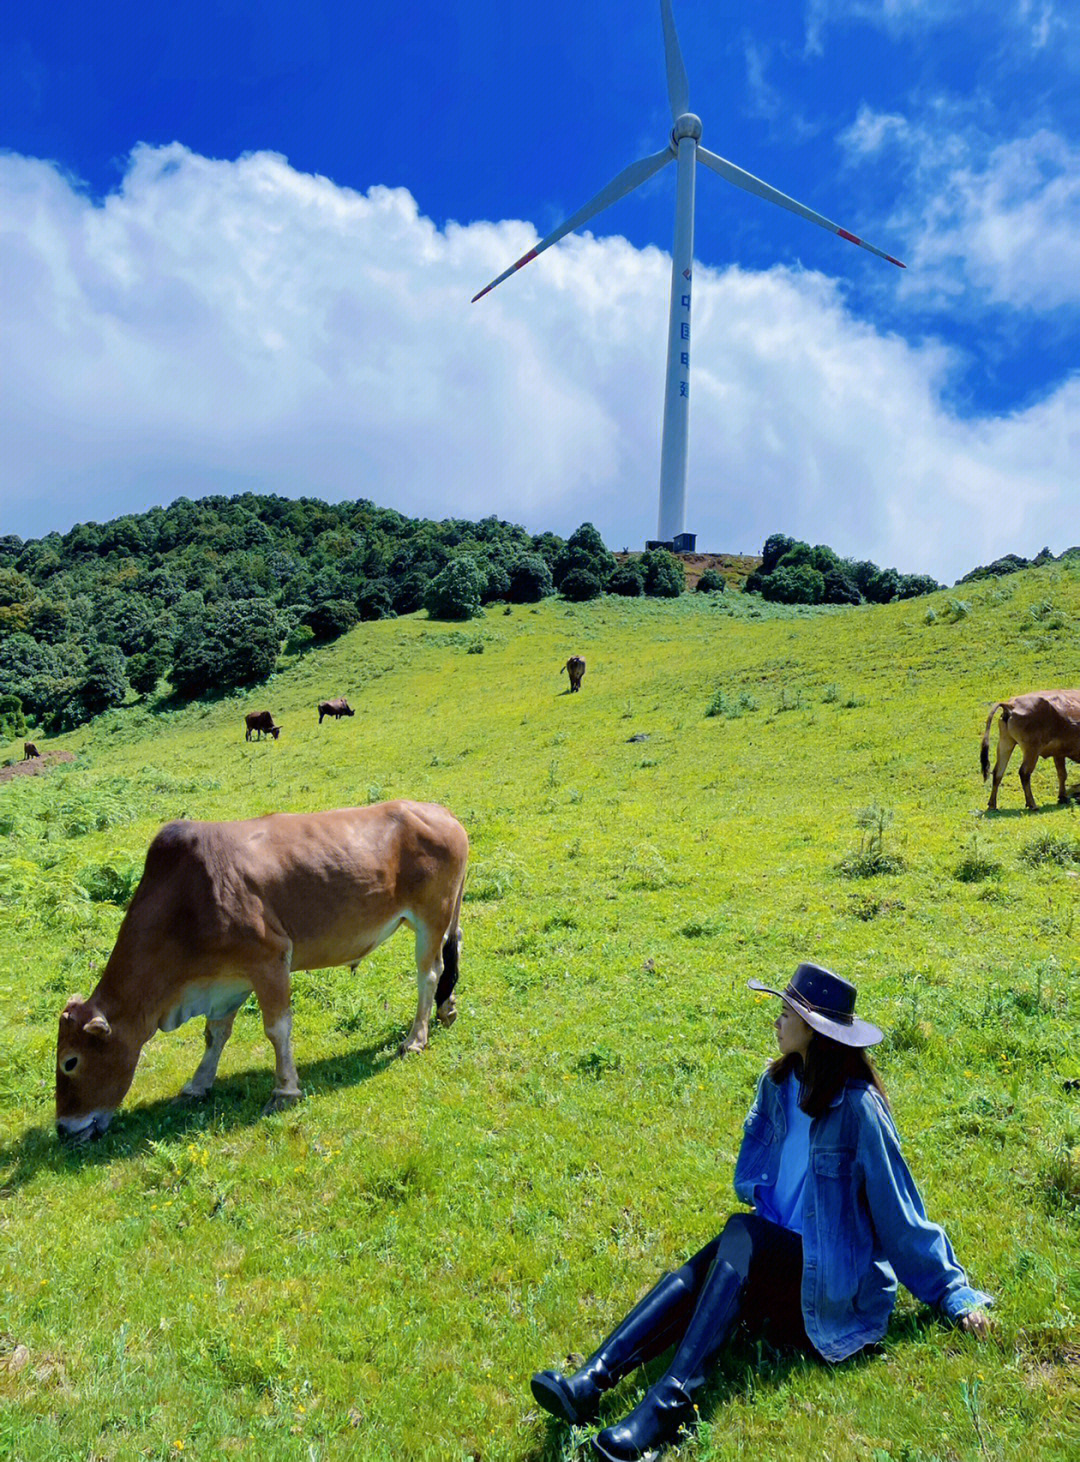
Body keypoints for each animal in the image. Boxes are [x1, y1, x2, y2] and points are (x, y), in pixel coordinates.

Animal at [54, 801, 467, 1140]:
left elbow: (277, 1028)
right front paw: (196, 1086)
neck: (184, 904)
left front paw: (284, 1091)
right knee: (454, 945)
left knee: (429, 973)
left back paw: (415, 1038)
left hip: (431, 915)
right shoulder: (226, 981)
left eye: (70, 1061)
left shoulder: (270, 960)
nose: (62, 1129)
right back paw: (446, 1009)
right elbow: (215, 1035)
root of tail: (443, 813)